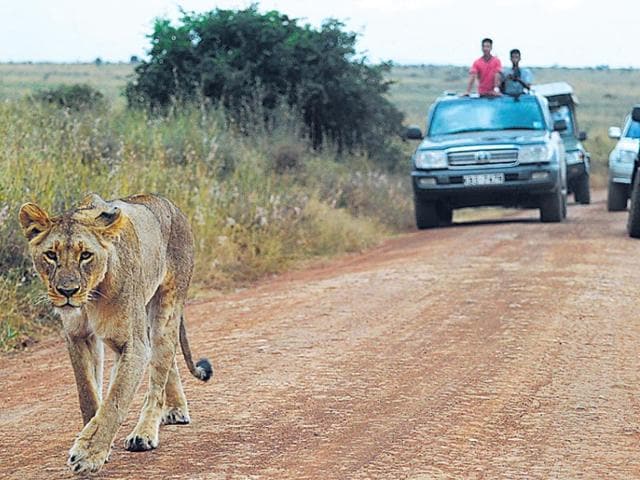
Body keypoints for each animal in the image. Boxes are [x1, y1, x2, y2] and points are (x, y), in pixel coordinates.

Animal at [18, 193, 212, 474]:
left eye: (86, 255)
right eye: (51, 255)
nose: (68, 291)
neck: (91, 299)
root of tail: (168, 202)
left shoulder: (133, 346)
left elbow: (115, 401)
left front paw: (89, 454)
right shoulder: (77, 337)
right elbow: (88, 395)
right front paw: (94, 440)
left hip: (166, 309)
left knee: (159, 373)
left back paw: (145, 433)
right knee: (166, 364)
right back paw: (176, 409)